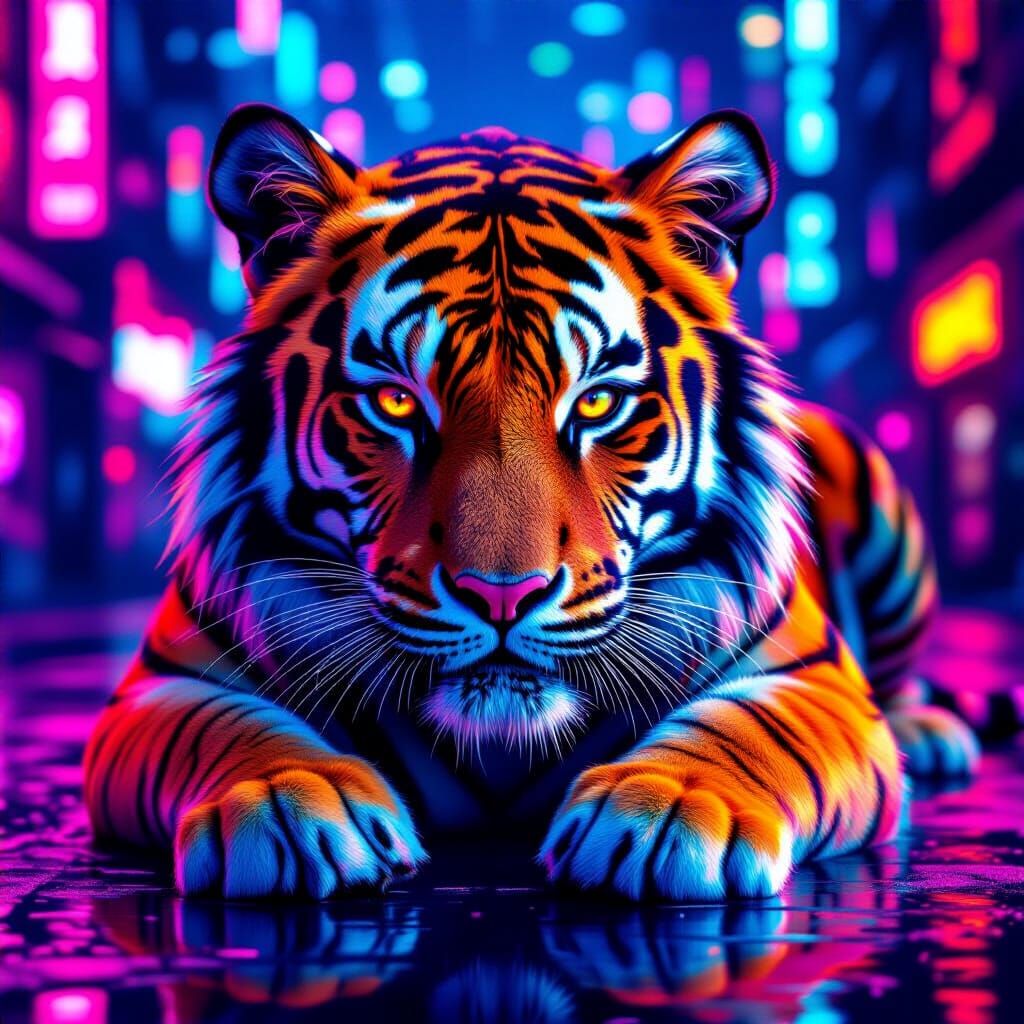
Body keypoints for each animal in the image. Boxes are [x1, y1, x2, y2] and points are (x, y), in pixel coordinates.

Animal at [83, 103, 979, 902]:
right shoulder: (165, 683)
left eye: (597, 403)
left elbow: (750, 731)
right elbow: (230, 732)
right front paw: (289, 804)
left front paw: (670, 812)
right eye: (398, 403)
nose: (502, 595)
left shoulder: (808, 673)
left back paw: (932, 736)